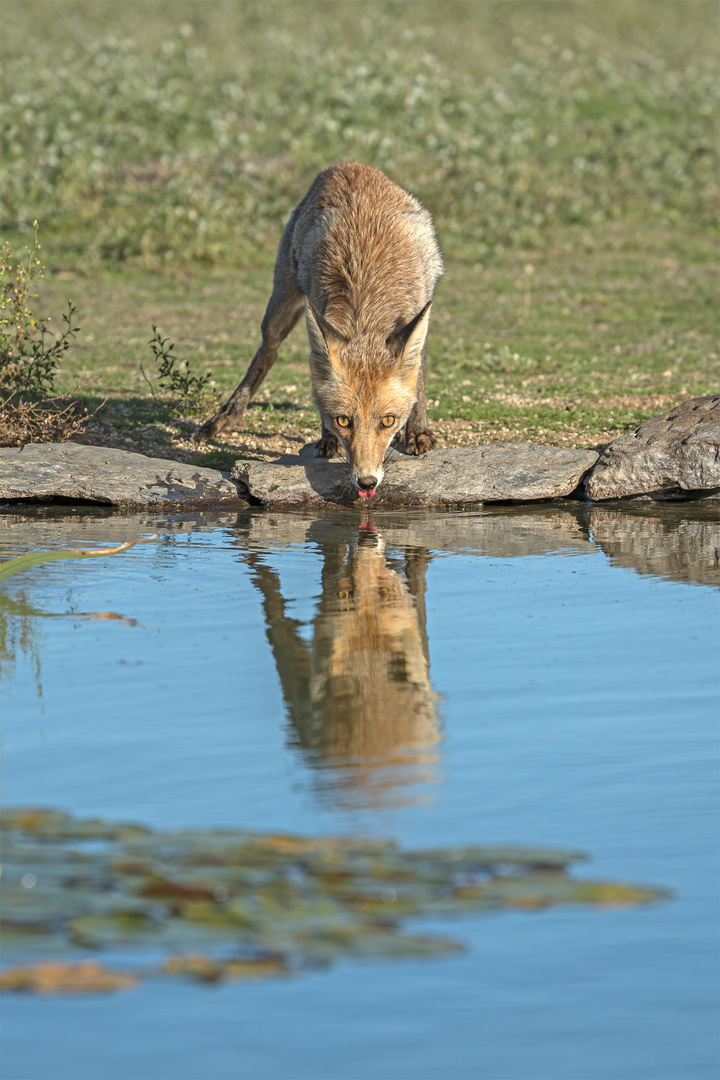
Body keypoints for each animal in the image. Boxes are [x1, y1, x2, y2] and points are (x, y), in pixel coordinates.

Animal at [198, 162, 444, 498]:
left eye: (388, 421)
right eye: (343, 421)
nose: (367, 482)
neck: (367, 294)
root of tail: (348, 165)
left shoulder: (417, 312)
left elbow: (417, 381)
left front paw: (417, 433)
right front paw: (327, 438)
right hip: (280, 309)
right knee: (267, 354)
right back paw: (228, 415)